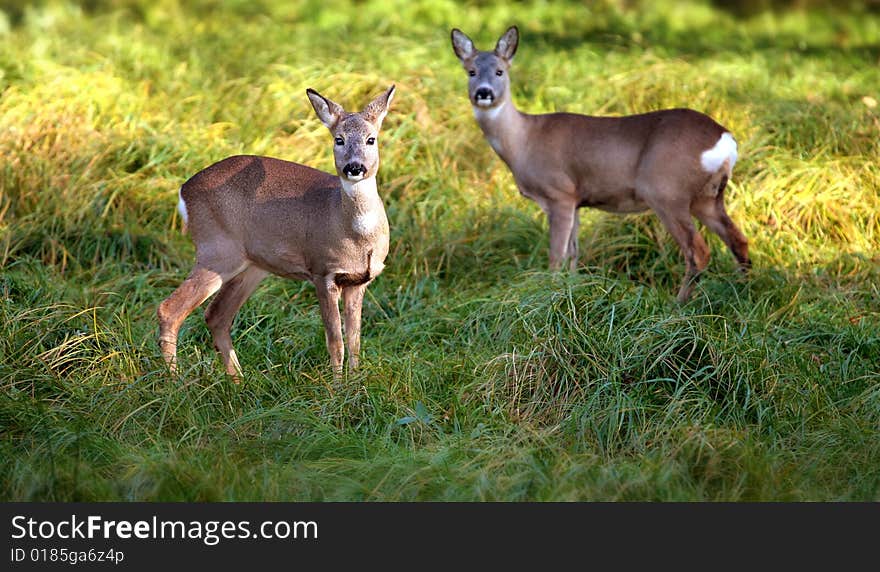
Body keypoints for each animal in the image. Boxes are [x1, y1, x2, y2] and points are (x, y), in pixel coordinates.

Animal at [158, 86, 396, 380]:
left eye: (371, 139)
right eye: (338, 139)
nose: (354, 167)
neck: (355, 235)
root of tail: (184, 191)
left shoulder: (359, 280)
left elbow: (355, 340)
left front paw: (355, 382)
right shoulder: (322, 271)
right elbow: (335, 340)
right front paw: (337, 386)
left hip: (252, 266)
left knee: (217, 316)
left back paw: (238, 380)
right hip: (217, 250)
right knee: (170, 309)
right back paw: (176, 379)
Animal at [454, 25, 748, 304]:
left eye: (500, 71)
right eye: (471, 72)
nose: (483, 92)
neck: (522, 141)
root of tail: (725, 139)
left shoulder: (559, 192)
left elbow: (556, 257)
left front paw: (547, 294)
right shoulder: (576, 200)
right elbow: (573, 254)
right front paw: (570, 291)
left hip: (666, 190)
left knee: (698, 251)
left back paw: (678, 305)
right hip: (707, 197)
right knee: (739, 241)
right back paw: (739, 294)